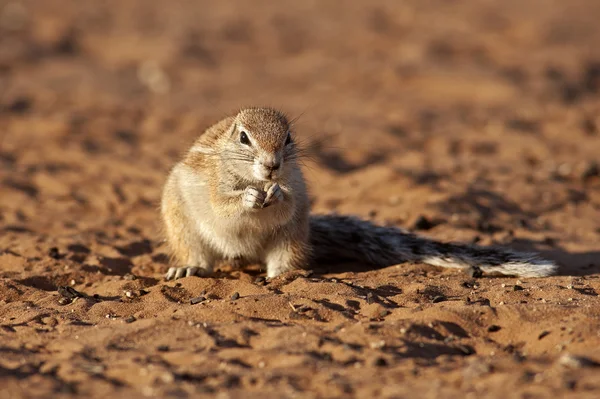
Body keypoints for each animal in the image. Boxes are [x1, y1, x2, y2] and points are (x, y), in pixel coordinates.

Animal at [161, 107, 556, 282]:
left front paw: (277, 195)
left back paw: (283, 276)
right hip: (180, 222)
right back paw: (189, 268)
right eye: (244, 138)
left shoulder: (297, 186)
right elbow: (221, 204)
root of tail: (241, 256)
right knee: (195, 252)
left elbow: (286, 203)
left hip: (292, 237)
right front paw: (245, 199)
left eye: (288, 138)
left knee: (285, 259)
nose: (272, 166)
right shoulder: (214, 180)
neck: (254, 178)